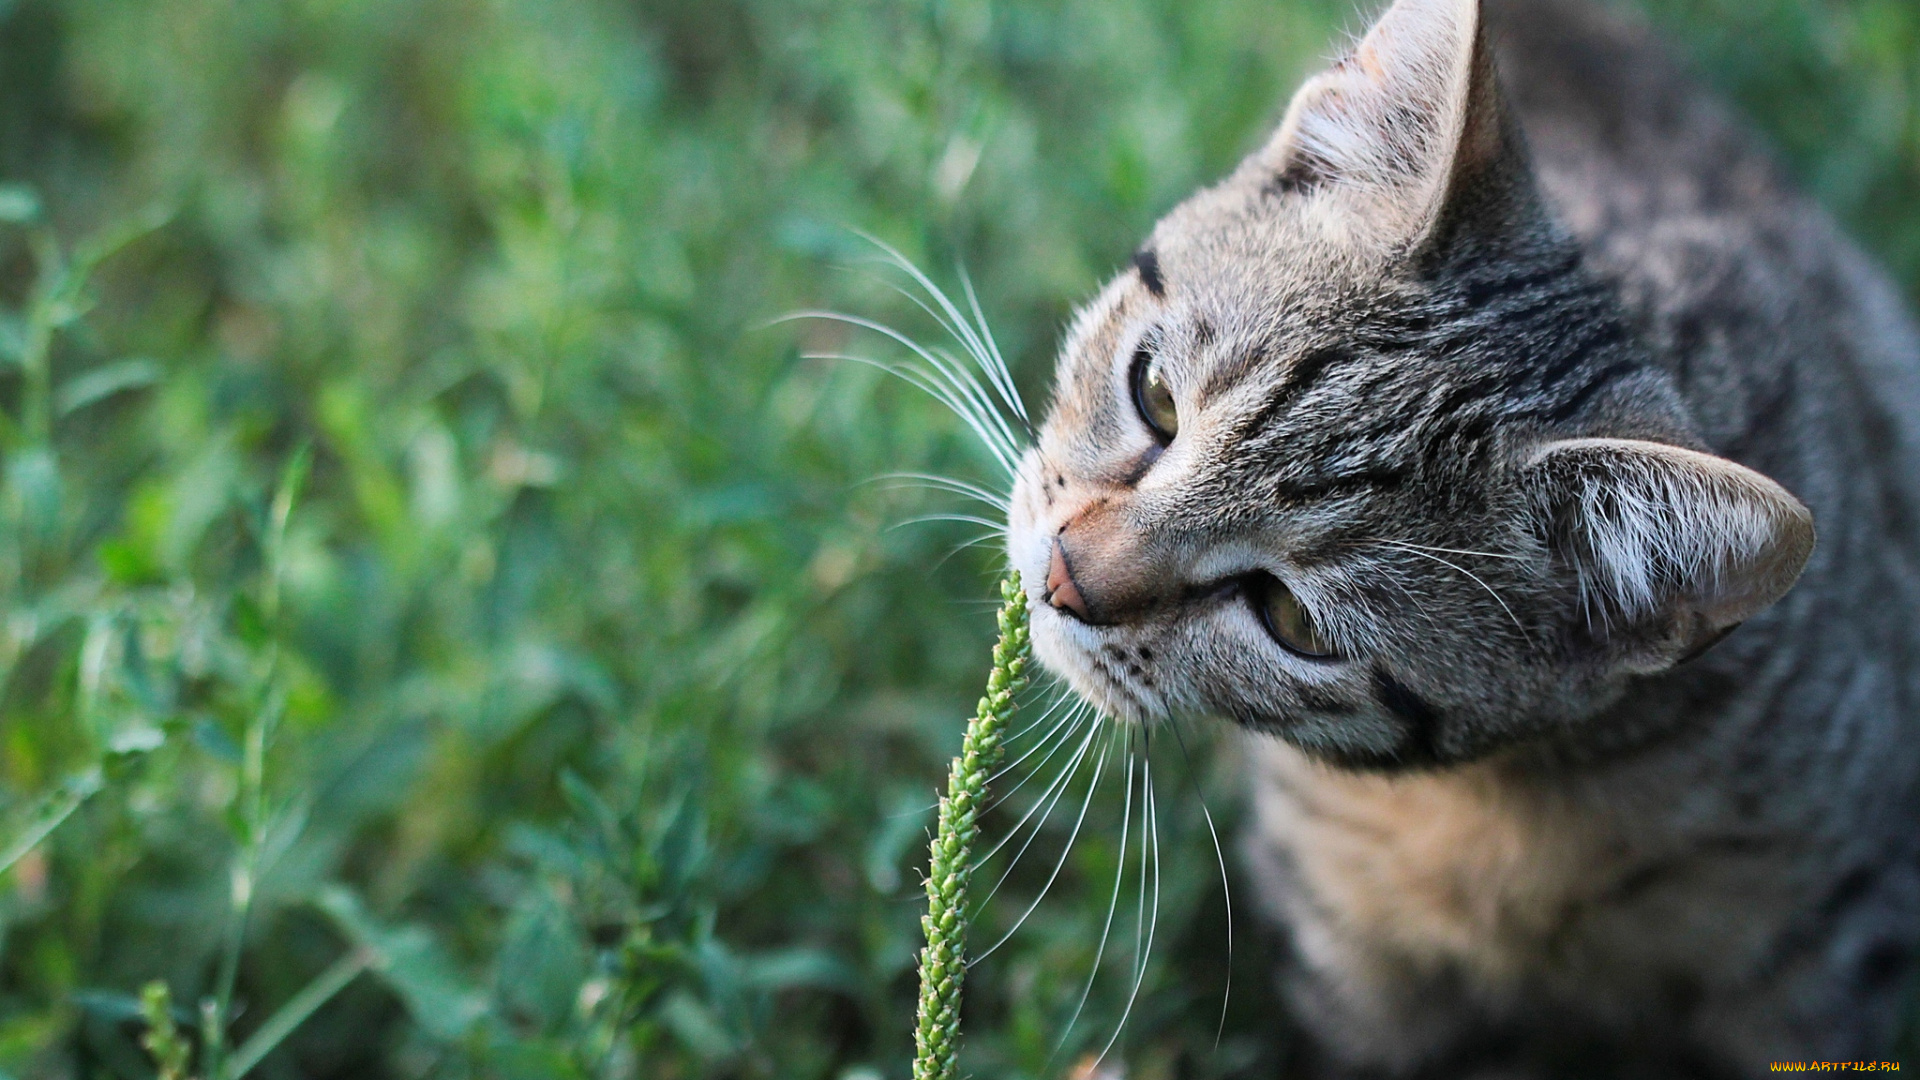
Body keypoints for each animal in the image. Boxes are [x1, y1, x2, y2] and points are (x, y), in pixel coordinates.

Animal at [1006, 0, 1920, 1068]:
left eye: (1290, 619)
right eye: (1154, 396)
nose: (1063, 578)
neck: (1511, 803)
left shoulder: (1831, 947)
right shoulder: (1347, 964)